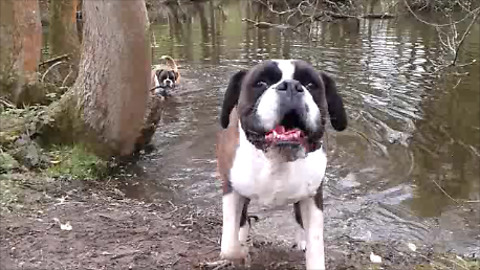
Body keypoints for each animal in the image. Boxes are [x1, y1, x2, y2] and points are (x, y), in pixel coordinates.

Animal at [216, 59, 346, 270]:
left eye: (310, 84)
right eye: (261, 83)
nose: (291, 86)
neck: (277, 160)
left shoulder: (312, 197)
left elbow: (316, 243)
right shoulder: (232, 189)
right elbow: (229, 245)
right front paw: (241, 251)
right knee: (241, 221)